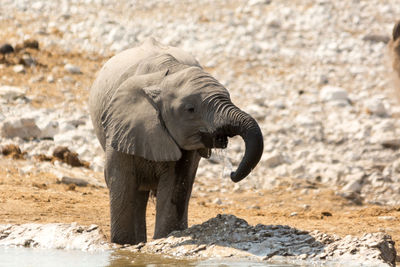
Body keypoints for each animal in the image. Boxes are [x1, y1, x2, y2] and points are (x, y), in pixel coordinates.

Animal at [89, 37, 264, 245]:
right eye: (190, 109)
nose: (232, 173)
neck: (166, 74)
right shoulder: (121, 124)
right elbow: (120, 180)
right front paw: (123, 245)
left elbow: (175, 184)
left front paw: (165, 237)